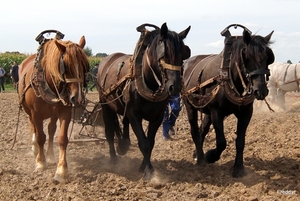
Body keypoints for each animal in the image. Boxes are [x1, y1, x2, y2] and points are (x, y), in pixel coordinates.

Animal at [18, 33, 89, 183]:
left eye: (84, 65)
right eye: (65, 66)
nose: (78, 98)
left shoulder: (64, 112)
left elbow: (62, 138)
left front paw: (61, 171)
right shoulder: (36, 113)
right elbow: (40, 136)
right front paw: (40, 162)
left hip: (53, 114)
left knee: (51, 130)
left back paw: (50, 155)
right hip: (28, 111)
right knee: (33, 127)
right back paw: (35, 150)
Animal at [98, 22, 190, 180]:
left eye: (181, 57)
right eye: (164, 55)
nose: (175, 87)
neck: (150, 84)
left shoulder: (157, 116)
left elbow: (150, 142)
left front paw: (144, 166)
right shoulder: (135, 114)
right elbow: (143, 142)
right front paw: (148, 171)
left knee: (124, 123)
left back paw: (124, 144)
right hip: (105, 105)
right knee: (109, 131)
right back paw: (113, 158)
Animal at [183, 24, 274, 177]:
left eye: (268, 57)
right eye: (247, 57)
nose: (261, 90)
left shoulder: (246, 113)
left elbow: (240, 141)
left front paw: (238, 168)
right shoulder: (216, 112)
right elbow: (221, 142)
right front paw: (210, 156)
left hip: (207, 111)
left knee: (203, 129)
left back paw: (197, 153)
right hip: (190, 105)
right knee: (195, 130)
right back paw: (200, 159)